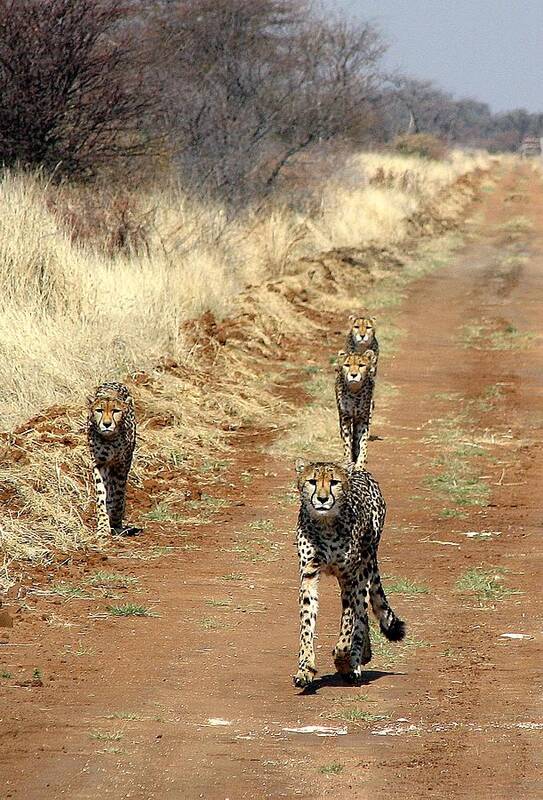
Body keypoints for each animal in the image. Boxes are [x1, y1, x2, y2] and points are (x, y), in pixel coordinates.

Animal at [86, 382, 138, 536]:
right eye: (99, 410)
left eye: (116, 411)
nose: (107, 424)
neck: (109, 439)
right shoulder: (99, 464)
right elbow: (101, 495)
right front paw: (103, 526)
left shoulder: (121, 465)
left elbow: (118, 494)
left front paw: (115, 522)